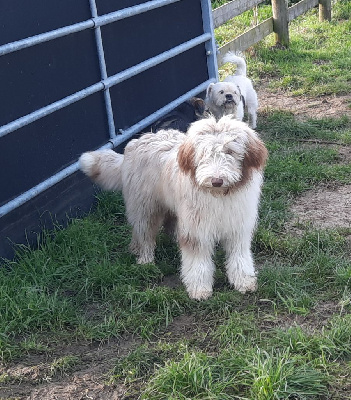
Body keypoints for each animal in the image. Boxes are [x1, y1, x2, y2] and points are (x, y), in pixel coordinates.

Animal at [79, 115, 266, 300]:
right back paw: (145, 260)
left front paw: (244, 281)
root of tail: (139, 140)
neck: (219, 195)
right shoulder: (196, 231)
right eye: (203, 153)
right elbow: (197, 262)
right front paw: (199, 289)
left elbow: (240, 257)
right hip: (145, 206)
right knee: (144, 233)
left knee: (163, 224)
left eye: (230, 152)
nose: (216, 180)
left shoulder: (238, 228)